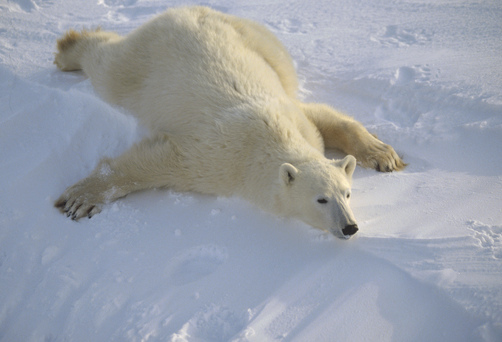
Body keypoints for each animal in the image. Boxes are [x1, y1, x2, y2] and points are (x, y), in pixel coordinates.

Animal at [54, 6, 404, 239]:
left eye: (347, 193)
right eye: (321, 199)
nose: (350, 227)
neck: (270, 138)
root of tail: (185, 9)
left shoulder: (295, 116)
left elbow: (324, 116)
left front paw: (385, 156)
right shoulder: (218, 158)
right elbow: (160, 162)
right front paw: (80, 199)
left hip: (259, 42)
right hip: (145, 62)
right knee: (109, 69)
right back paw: (69, 49)